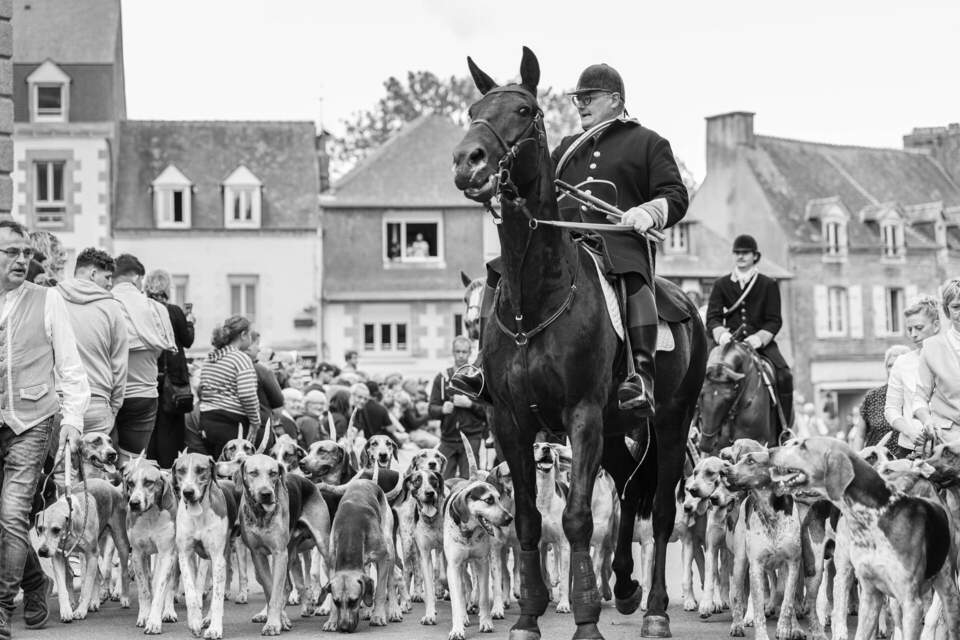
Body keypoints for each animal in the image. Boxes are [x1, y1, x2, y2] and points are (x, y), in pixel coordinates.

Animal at [454, 47, 708, 636]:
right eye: (475, 109)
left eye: (524, 110)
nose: (467, 161)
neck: (535, 299)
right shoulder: (511, 421)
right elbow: (527, 518)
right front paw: (528, 614)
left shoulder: (582, 415)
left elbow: (575, 520)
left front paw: (586, 614)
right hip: (617, 429)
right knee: (629, 491)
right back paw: (626, 584)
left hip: (667, 420)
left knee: (661, 511)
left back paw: (654, 607)